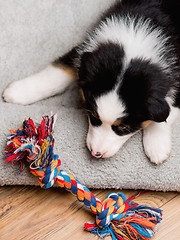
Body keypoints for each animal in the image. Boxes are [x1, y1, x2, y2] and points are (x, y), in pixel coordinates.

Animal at [3, 0, 180, 164]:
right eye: (93, 116)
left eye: (124, 127)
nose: (96, 153)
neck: (134, 42)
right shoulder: (86, 53)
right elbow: (58, 72)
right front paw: (18, 92)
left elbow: (167, 111)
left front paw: (157, 147)